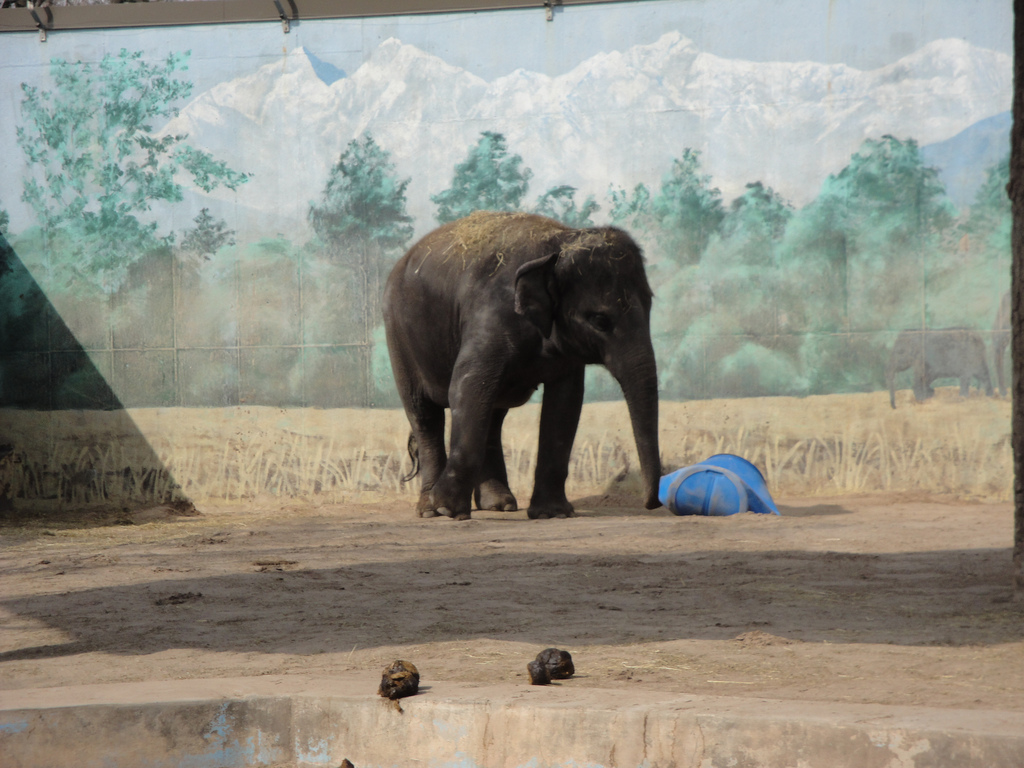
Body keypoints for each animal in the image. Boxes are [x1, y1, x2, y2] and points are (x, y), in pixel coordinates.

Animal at [382, 210, 661, 520]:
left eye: (650, 304)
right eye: (600, 321)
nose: (651, 503)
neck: (560, 244)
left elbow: (565, 404)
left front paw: (553, 513)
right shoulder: (490, 318)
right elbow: (467, 389)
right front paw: (448, 510)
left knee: (492, 416)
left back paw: (499, 504)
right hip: (398, 337)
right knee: (424, 414)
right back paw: (431, 510)